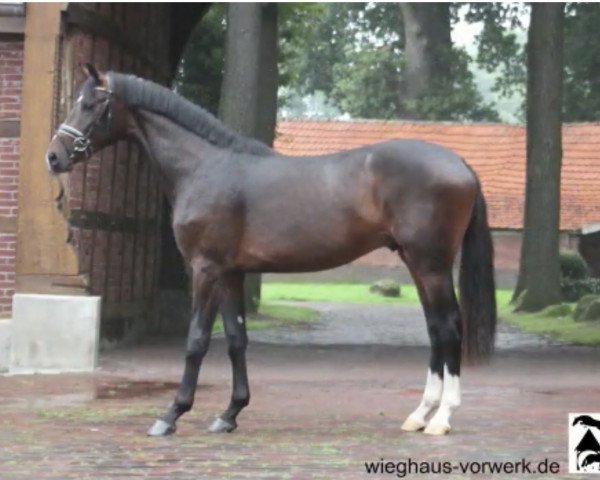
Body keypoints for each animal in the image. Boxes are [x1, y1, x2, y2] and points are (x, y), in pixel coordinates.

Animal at [45, 66, 496, 438]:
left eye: (90, 105)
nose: (54, 156)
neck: (204, 166)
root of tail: (460, 164)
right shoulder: (231, 273)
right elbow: (235, 339)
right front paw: (229, 414)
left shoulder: (205, 269)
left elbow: (196, 340)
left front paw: (171, 414)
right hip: (418, 264)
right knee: (435, 329)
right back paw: (419, 415)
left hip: (431, 265)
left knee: (449, 328)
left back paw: (441, 418)